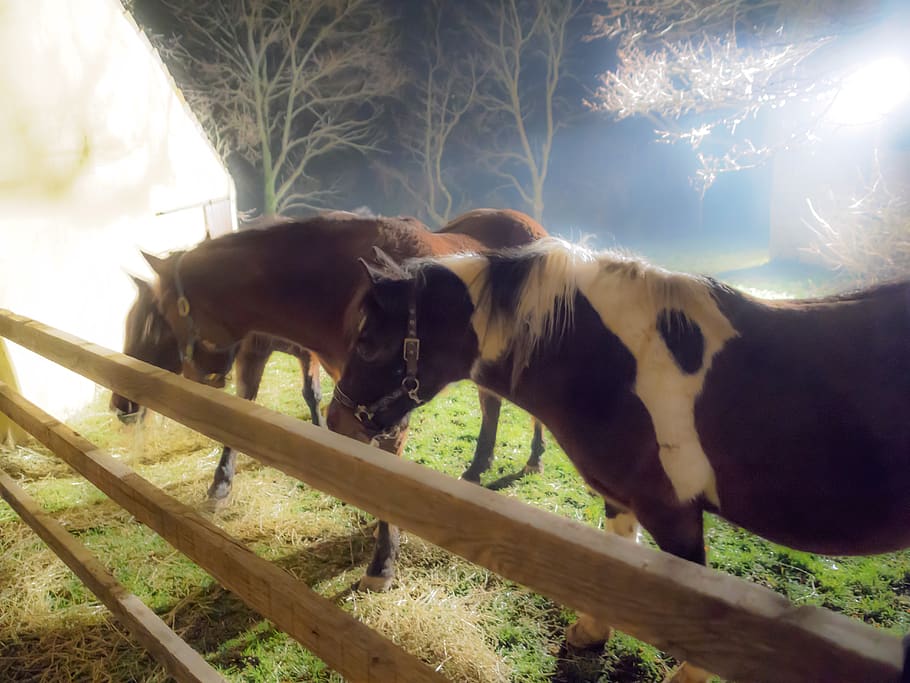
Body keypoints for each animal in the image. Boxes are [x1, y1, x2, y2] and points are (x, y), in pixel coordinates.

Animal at [121, 208, 550, 591]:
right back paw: (476, 470)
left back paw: (533, 458)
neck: (344, 291)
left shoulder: (386, 408)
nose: (122, 406)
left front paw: (382, 564)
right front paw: (220, 488)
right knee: (491, 406)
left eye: (156, 319)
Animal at [326, 236, 910, 681]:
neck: (617, 368)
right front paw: (590, 633)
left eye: (370, 342)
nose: (336, 422)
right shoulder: (622, 498)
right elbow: (617, 559)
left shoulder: (674, 515)